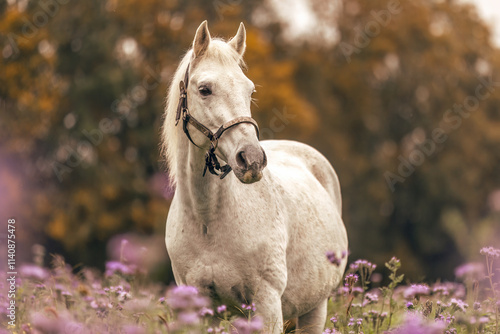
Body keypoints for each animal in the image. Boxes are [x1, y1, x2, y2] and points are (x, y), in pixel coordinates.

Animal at [164, 21, 348, 334]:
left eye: (249, 91)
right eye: (204, 89)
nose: (251, 160)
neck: (206, 219)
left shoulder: (266, 302)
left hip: (315, 308)